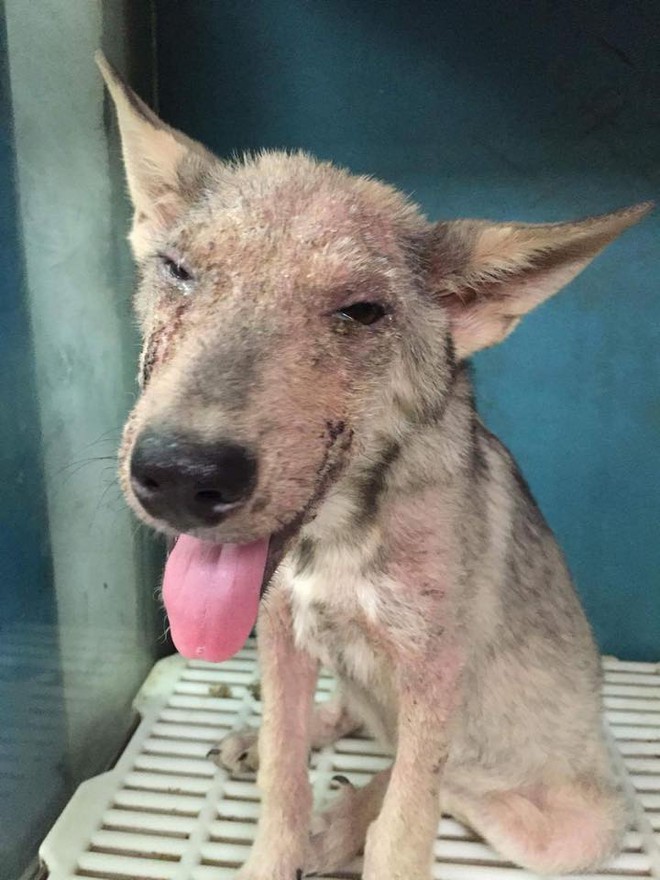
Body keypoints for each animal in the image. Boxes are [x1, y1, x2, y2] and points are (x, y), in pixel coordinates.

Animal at [96, 53, 648, 880]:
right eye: (179, 269)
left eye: (360, 312)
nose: (183, 476)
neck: (338, 539)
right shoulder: (282, 630)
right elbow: (284, 781)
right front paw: (281, 819)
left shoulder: (431, 672)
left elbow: (405, 826)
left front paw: (349, 827)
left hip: (561, 831)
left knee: (444, 782)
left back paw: (346, 822)